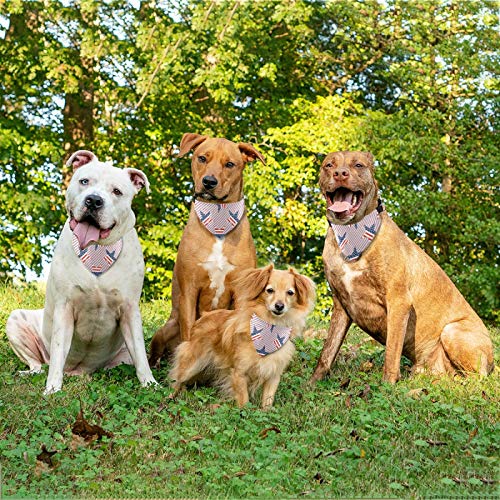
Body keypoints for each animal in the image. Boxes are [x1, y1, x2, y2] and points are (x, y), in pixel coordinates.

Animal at [6, 149, 156, 394]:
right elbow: (58, 351)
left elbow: (141, 355)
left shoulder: (130, 310)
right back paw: (31, 373)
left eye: (117, 191)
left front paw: (151, 384)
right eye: (84, 181)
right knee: (38, 363)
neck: (96, 250)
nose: (94, 200)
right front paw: (52, 389)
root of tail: (80, 371)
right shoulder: (65, 308)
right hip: (16, 320)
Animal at [148, 133, 266, 368]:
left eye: (230, 164)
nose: (209, 182)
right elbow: (188, 331)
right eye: (202, 158)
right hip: (167, 327)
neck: (218, 221)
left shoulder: (241, 293)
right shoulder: (189, 291)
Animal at [170, 264, 314, 408]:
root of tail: (205, 315)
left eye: (290, 293)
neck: (271, 328)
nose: (279, 306)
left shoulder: (273, 375)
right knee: (176, 377)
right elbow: (244, 401)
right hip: (192, 364)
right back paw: (171, 395)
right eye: (270, 290)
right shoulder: (239, 373)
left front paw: (265, 411)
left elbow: (267, 401)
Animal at [310, 148, 494, 382]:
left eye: (358, 165)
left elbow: (391, 351)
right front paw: (311, 384)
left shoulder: (399, 302)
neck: (352, 235)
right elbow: (327, 352)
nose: (340, 173)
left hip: (452, 330)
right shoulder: (341, 304)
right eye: (329, 165)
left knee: (478, 377)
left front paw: (387, 384)